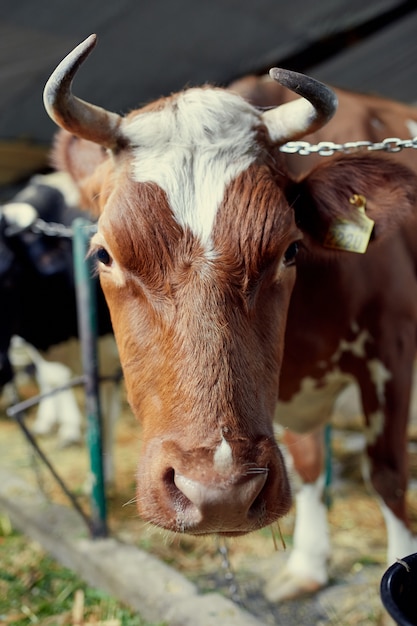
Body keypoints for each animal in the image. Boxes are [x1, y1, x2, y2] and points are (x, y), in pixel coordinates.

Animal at [43, 34, 417, 600]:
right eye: (105, 254)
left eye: (290, 250)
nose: (218, 494)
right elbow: (308, 466)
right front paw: (307, 567)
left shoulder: (391, 345)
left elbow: (389, 474)